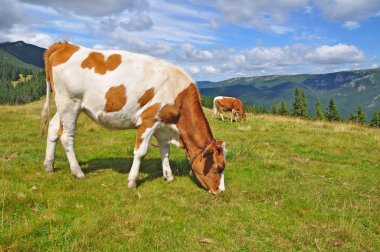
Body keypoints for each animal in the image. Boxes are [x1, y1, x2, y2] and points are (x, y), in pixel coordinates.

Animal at [40, 42, 226, 194]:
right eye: (218, 168)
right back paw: (78, 172)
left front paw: (168, 176)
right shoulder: (149, 120)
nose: (220, 191)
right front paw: (132, 181)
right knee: (67, 136)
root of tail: (65, 45)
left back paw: (49, 165)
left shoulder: (163, 125)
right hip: (70, 102)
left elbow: (165, 150)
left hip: (63, 105)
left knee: (53, 128)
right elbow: (141, 152)